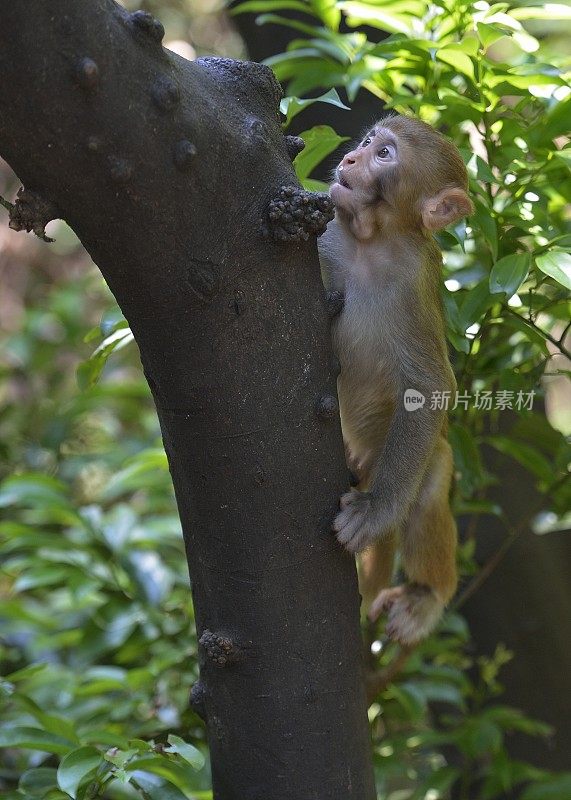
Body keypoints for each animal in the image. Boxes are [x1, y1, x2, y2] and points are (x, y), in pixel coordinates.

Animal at [318, 114, 474, 644]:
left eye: (384, 154)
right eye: (368, 142)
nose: (349, 158)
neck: (370, 245)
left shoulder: (413, 285)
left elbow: (430, 390)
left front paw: (377, 510)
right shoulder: (327, 243)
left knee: (429, 484)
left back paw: (426, 596)